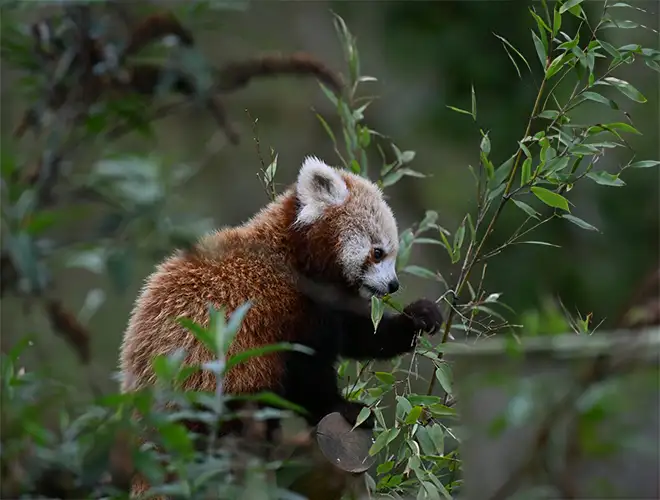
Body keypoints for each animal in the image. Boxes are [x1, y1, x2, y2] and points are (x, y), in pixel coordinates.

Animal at [119, 156, 443, 434]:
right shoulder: (283, 309)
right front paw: (343, 408)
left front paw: (418, 317)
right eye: (378, 253)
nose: (393, 285)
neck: (298, 258)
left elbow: (361, 334)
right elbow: (304, 370)